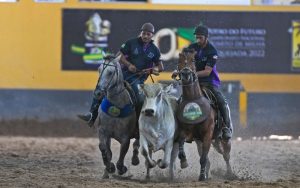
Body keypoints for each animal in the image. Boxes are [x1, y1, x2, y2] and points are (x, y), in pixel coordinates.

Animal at [176, 48, 234, 181]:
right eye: (179, 61)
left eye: (193, 60)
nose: (185, 74)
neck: (193, 99)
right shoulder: (187, 133)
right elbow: (181, 143)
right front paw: (184, 161)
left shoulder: (207, 134)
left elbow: (203, 158)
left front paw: (202, 176)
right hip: (202, 141)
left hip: (224, 139)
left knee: (226, 155)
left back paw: (230, 174)